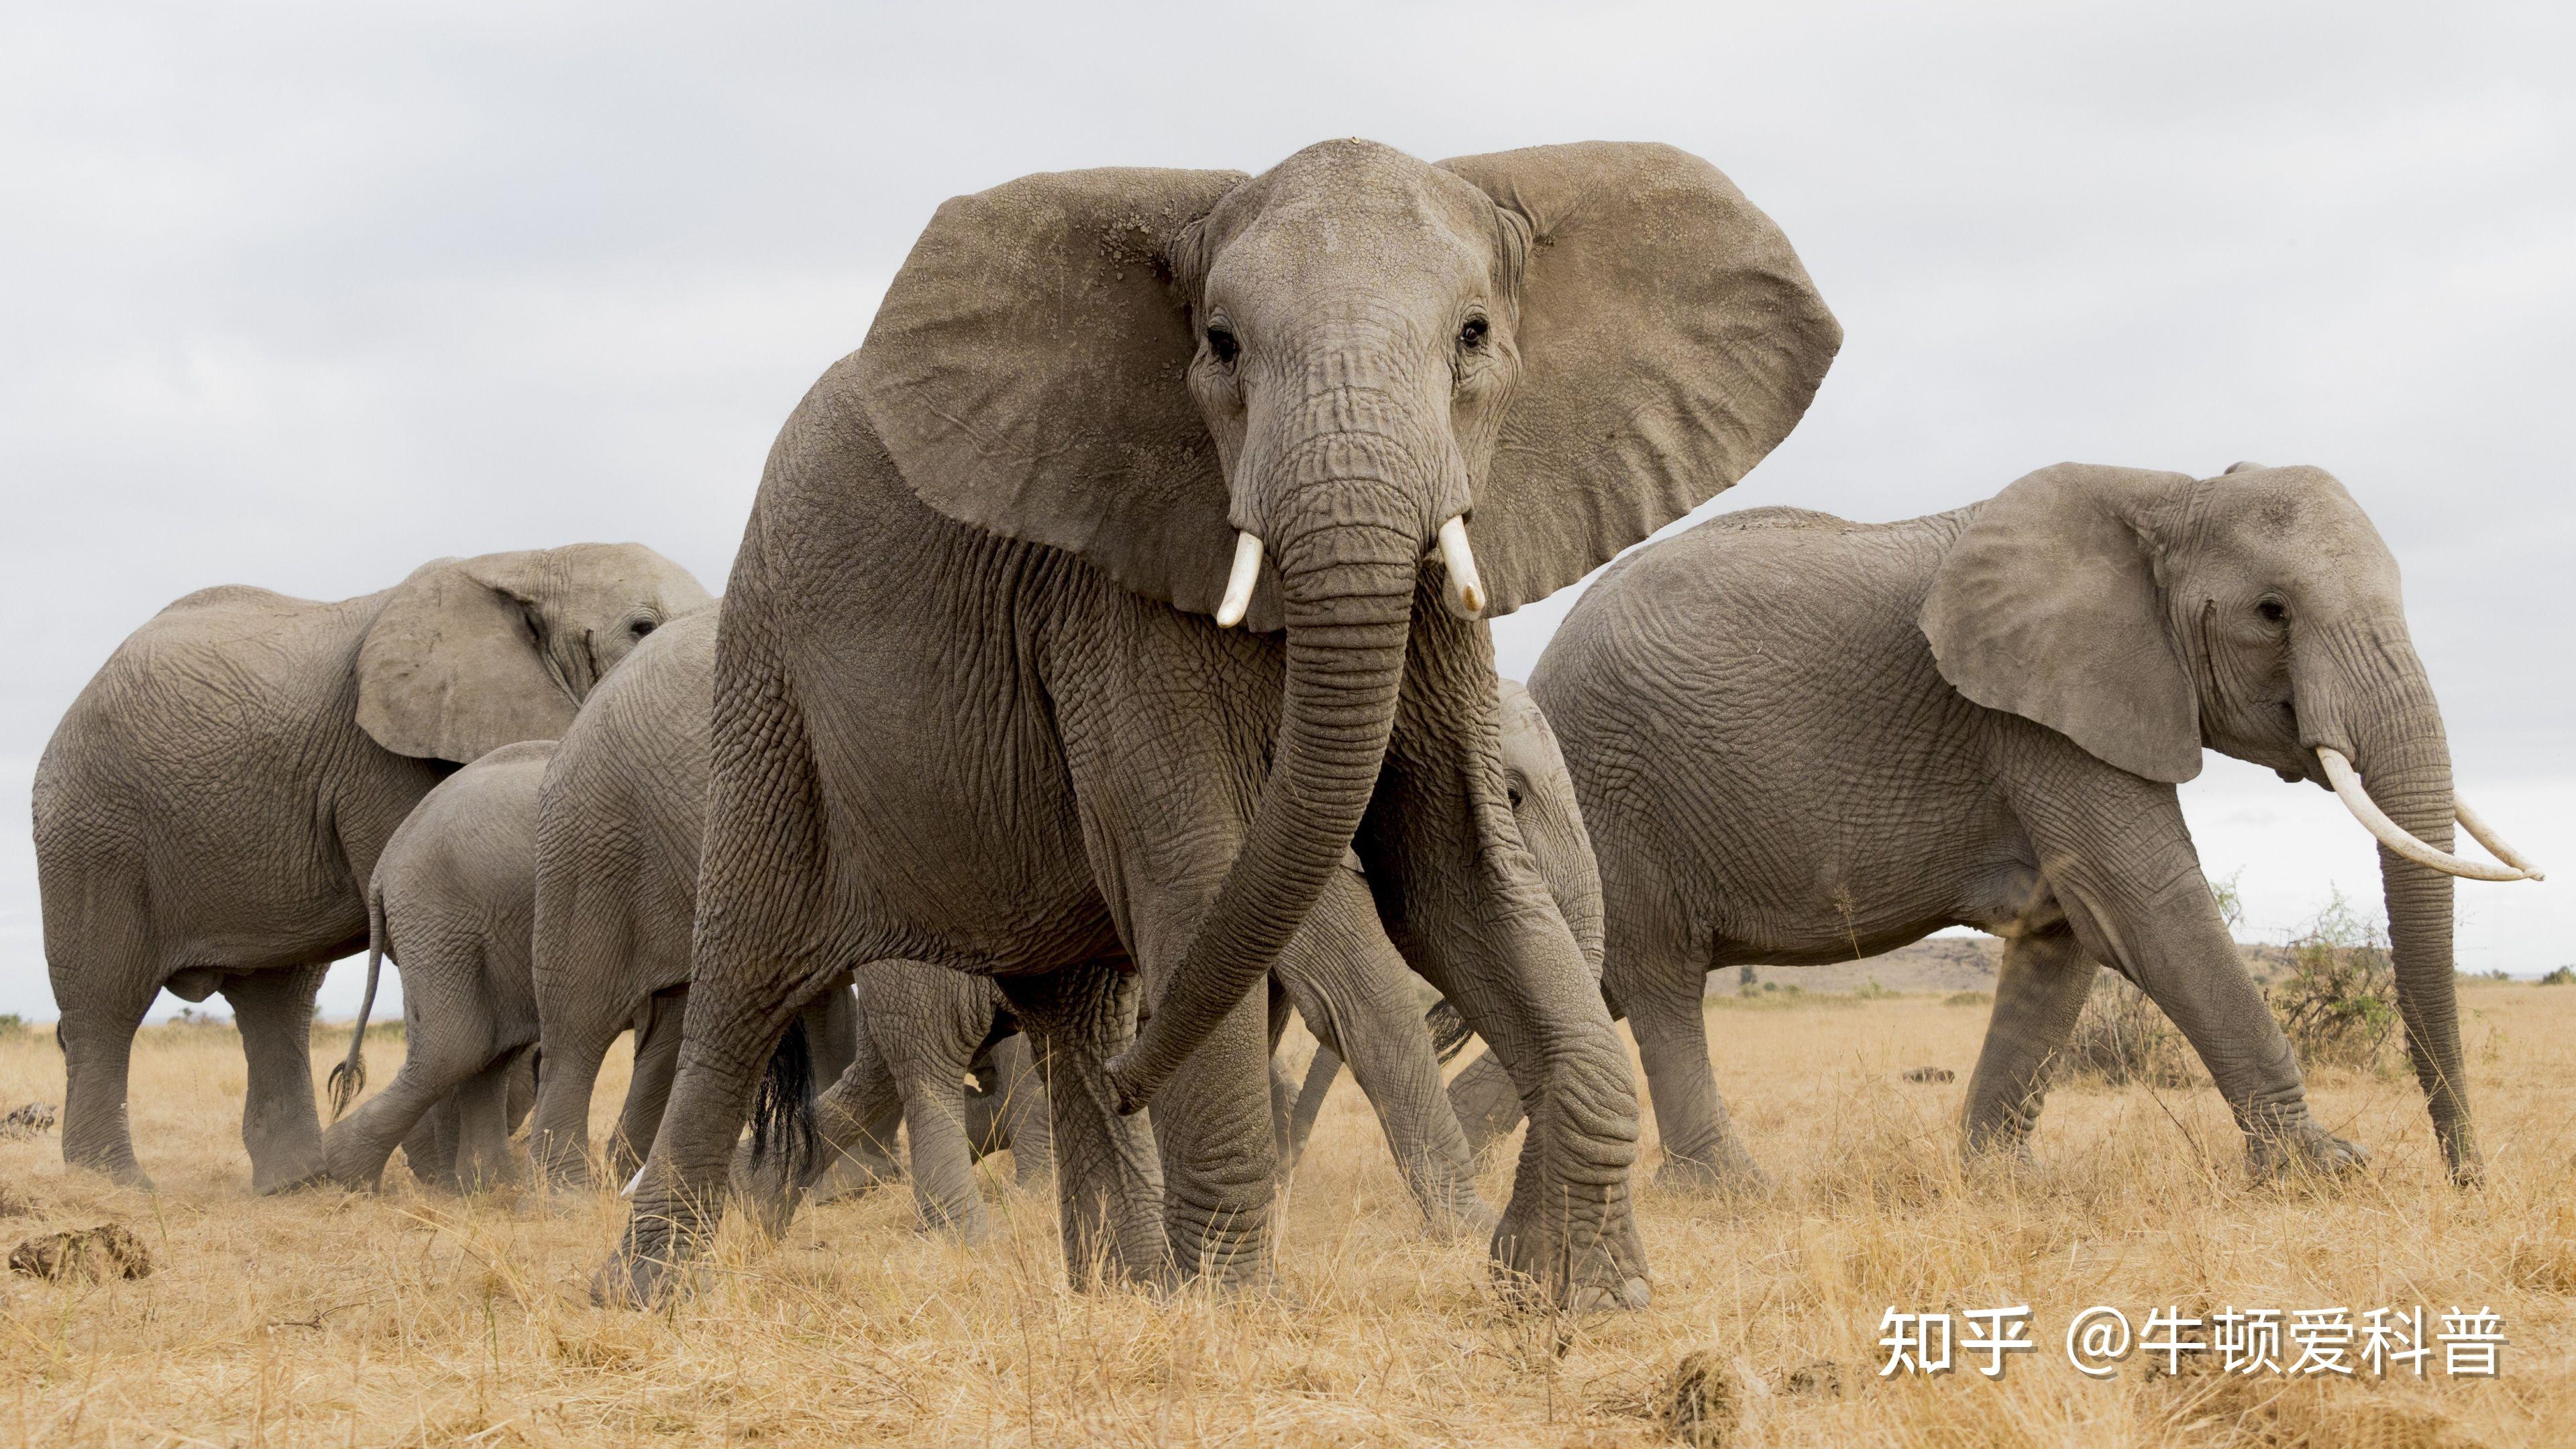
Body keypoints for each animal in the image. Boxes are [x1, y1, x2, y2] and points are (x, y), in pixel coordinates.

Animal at [32, 541, 716, 1185]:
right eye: (641, 627)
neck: (530, 560)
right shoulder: (380, 761)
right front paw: (442, 1173)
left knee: (278, 999)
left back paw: (295, 1183)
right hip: (91, 828)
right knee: (105, 996)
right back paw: (120, 1183)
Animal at [597, 138, 1854, 1309]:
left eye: (1475, 336)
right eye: (1220, 346)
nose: (1138, 1078)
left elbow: (1457, 876)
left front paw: (1576, 1292)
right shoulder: (1114, 600)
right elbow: (1202, 872)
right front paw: (1238, 1310)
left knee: (1077, 1009)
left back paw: (1117, 1278)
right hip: (771, 676)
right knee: (746, 982)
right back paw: (644, 1291)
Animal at [1452, 461, 2534, 1185]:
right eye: (2274, 612)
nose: (2466, 1185)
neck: (2168, 493)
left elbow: (2065, 935)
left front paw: (1995, 1183)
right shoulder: (2037, 716)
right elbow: (2148, 902)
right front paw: (2328, 1170)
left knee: (1599, 988)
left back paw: (1459, 1187)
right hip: (1616, 789)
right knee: (1662, 985)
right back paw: (1728, 1194)